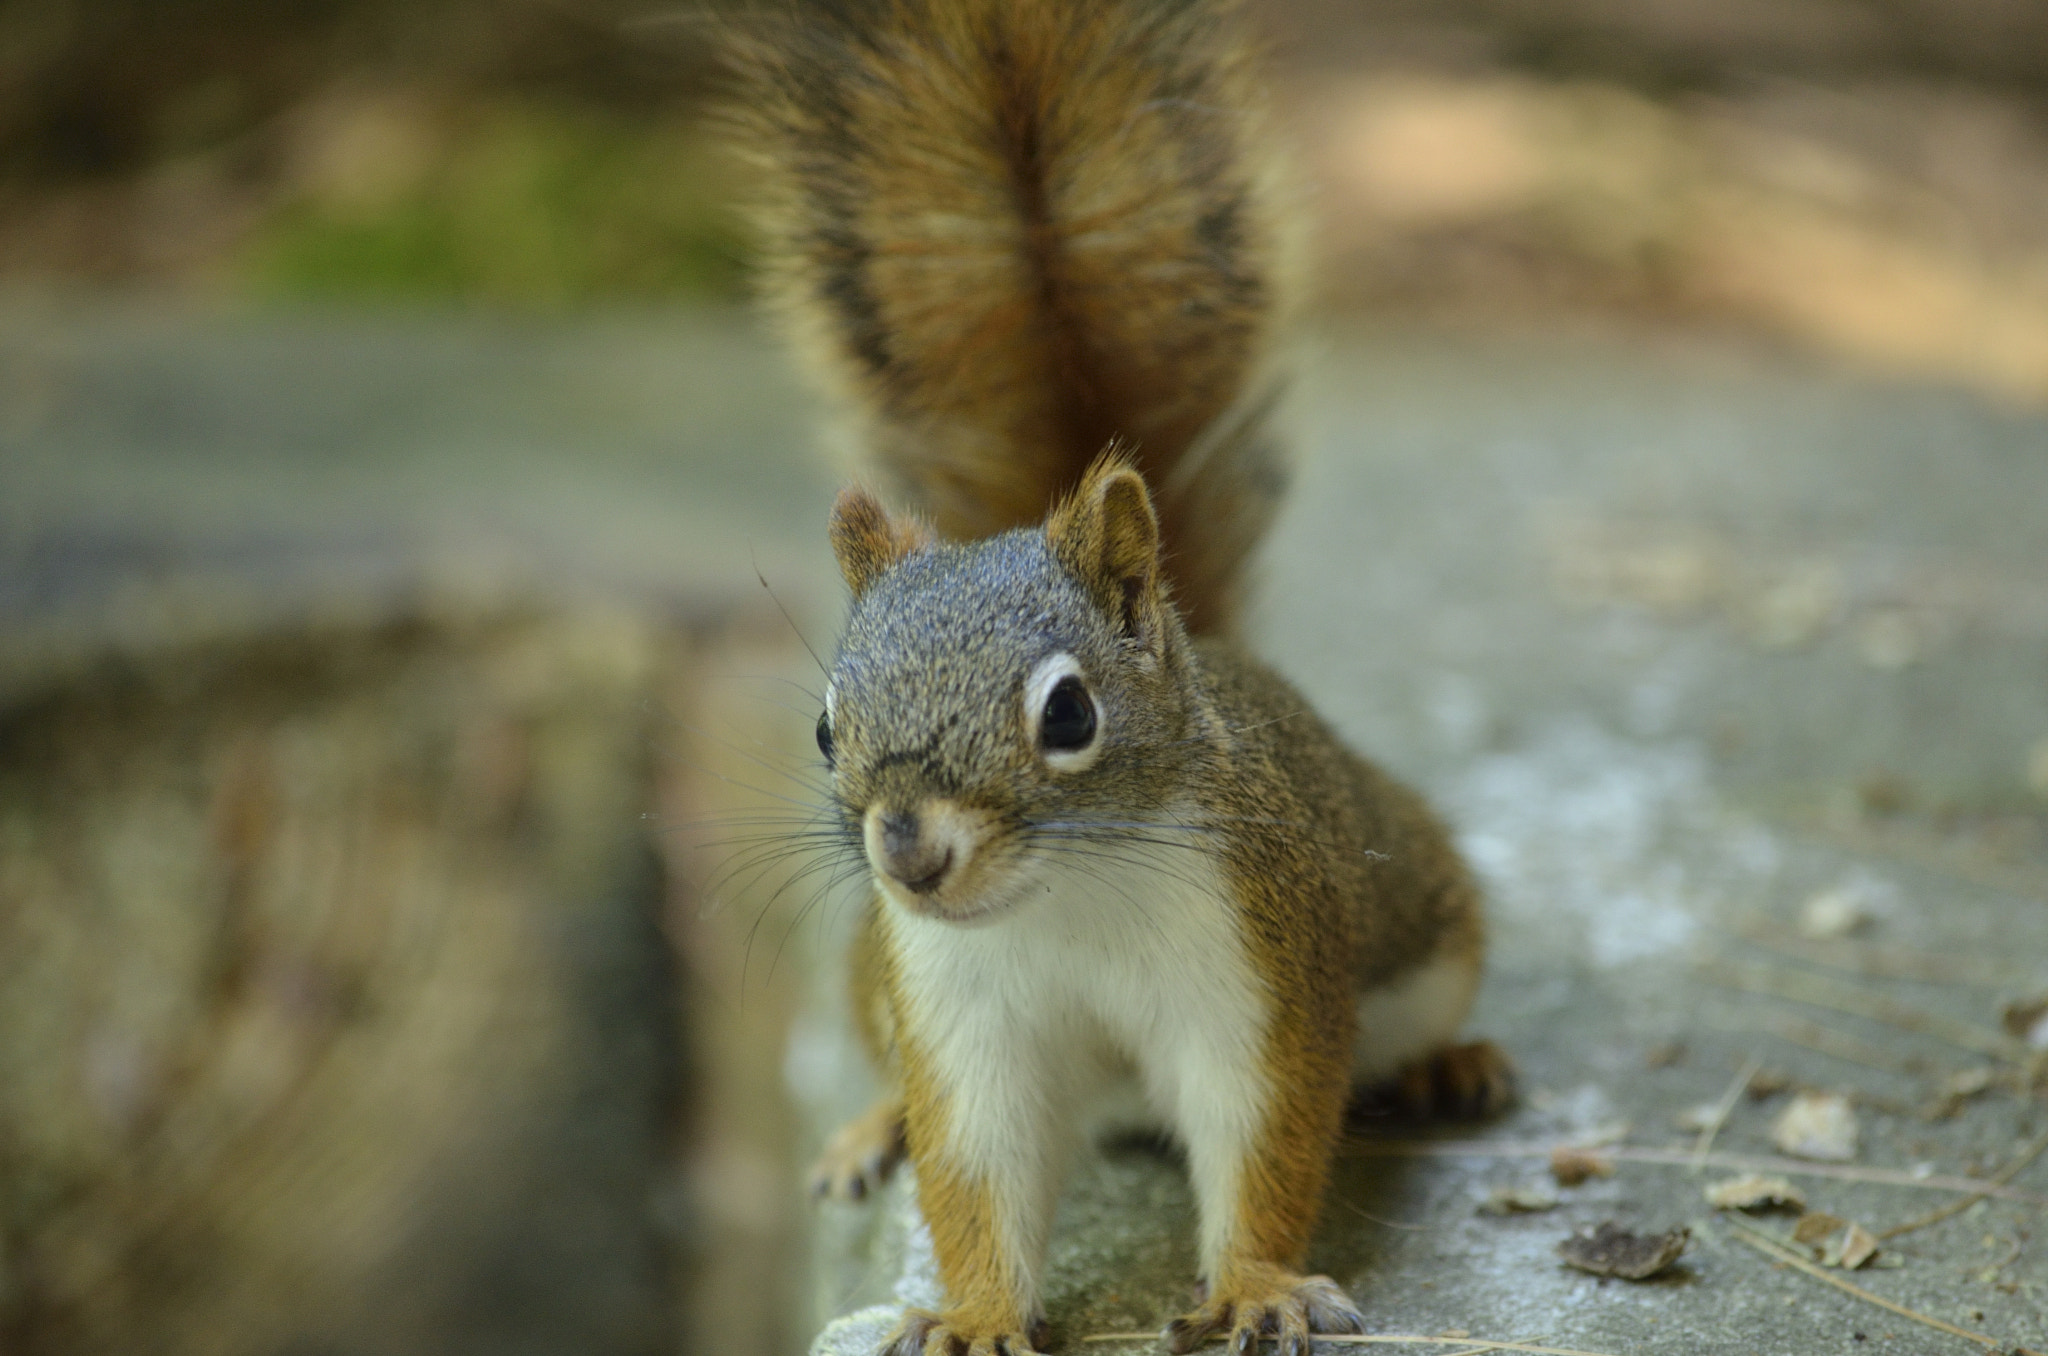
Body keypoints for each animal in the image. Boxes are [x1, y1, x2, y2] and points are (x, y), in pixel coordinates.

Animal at [727, 2, 1512, 1353]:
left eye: (1069, 712)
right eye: (826, 730)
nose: (908, 854)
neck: (1066, 899)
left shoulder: (1254, 967)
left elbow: (1262, 1130)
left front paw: (1252, 1287)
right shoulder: (958, 1012)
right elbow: (974, 1167)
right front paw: (975, 1315)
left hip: (1421, 910)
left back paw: (1444, 1067)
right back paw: (871, 1128)